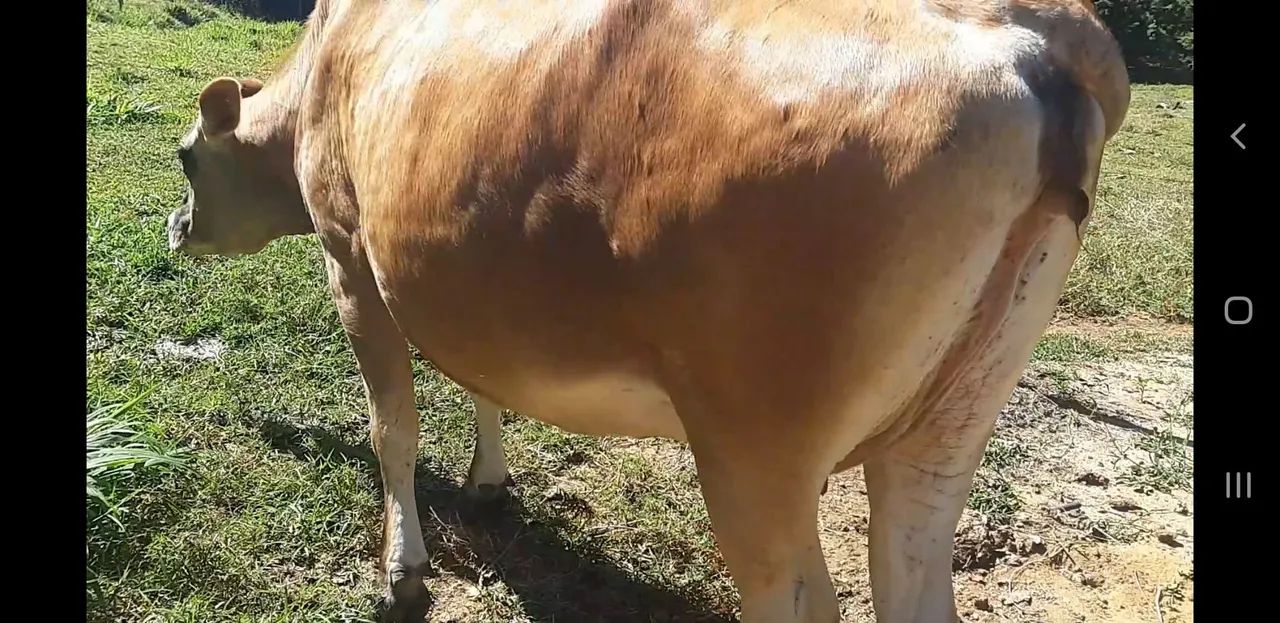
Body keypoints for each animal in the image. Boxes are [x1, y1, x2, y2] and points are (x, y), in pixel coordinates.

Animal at [164, 0, 1129, 621]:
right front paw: (487, 480)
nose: (175, 228)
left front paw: (403, 571)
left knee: (797, 596)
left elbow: (390, 427)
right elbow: (479, 378)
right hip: (946, 431)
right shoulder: (458, 279)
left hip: (756, 445)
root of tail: (1029, 38)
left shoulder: (348, 254)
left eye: (184, 157)